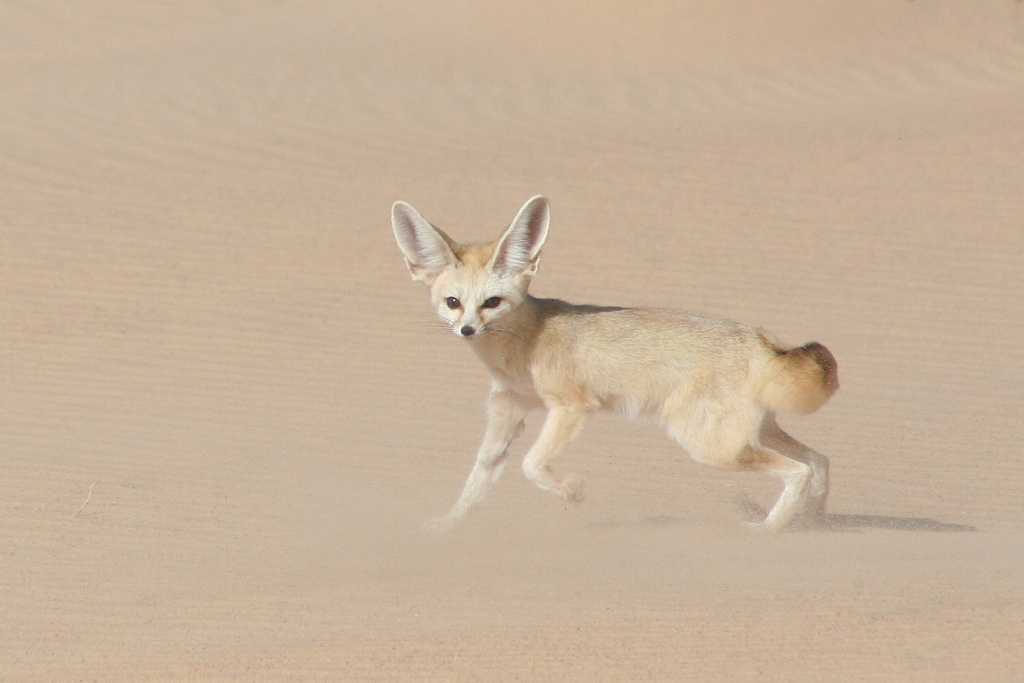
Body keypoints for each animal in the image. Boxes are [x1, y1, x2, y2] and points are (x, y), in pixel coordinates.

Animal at [391, 194, 839, 532]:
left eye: (492, 302)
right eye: (453, 302)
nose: (467, 330)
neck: (524, 343)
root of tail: (759, 339)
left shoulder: (572, 407)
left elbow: (531, 463)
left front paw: (571, 490)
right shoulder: (509, 409)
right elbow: (479, 476)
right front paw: (449, 523)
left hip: (712, 446)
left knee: (799, 470)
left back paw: (768, 530)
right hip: (755, 433)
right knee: (818, 461)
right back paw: (813, 525)